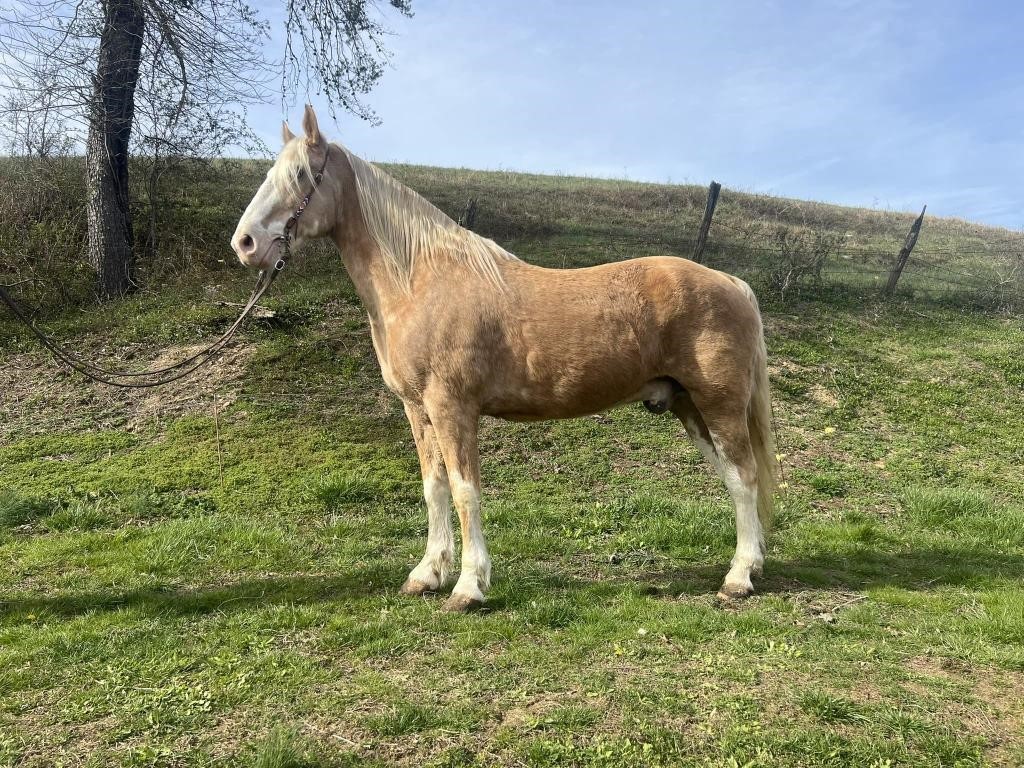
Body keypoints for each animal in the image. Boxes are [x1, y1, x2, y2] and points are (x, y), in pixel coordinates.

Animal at [232, 107, 774, 614]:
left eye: (303, 174)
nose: (245, 243)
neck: (420, 281)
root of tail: (733, 284)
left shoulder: (452, 408)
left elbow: (465, 490)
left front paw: (468, 587)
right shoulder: (418, 410)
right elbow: (434, 488)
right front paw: (427, 575)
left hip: (718, 405)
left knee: (744, 476)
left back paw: (738, 579)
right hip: (689, 407)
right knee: (733, 479)